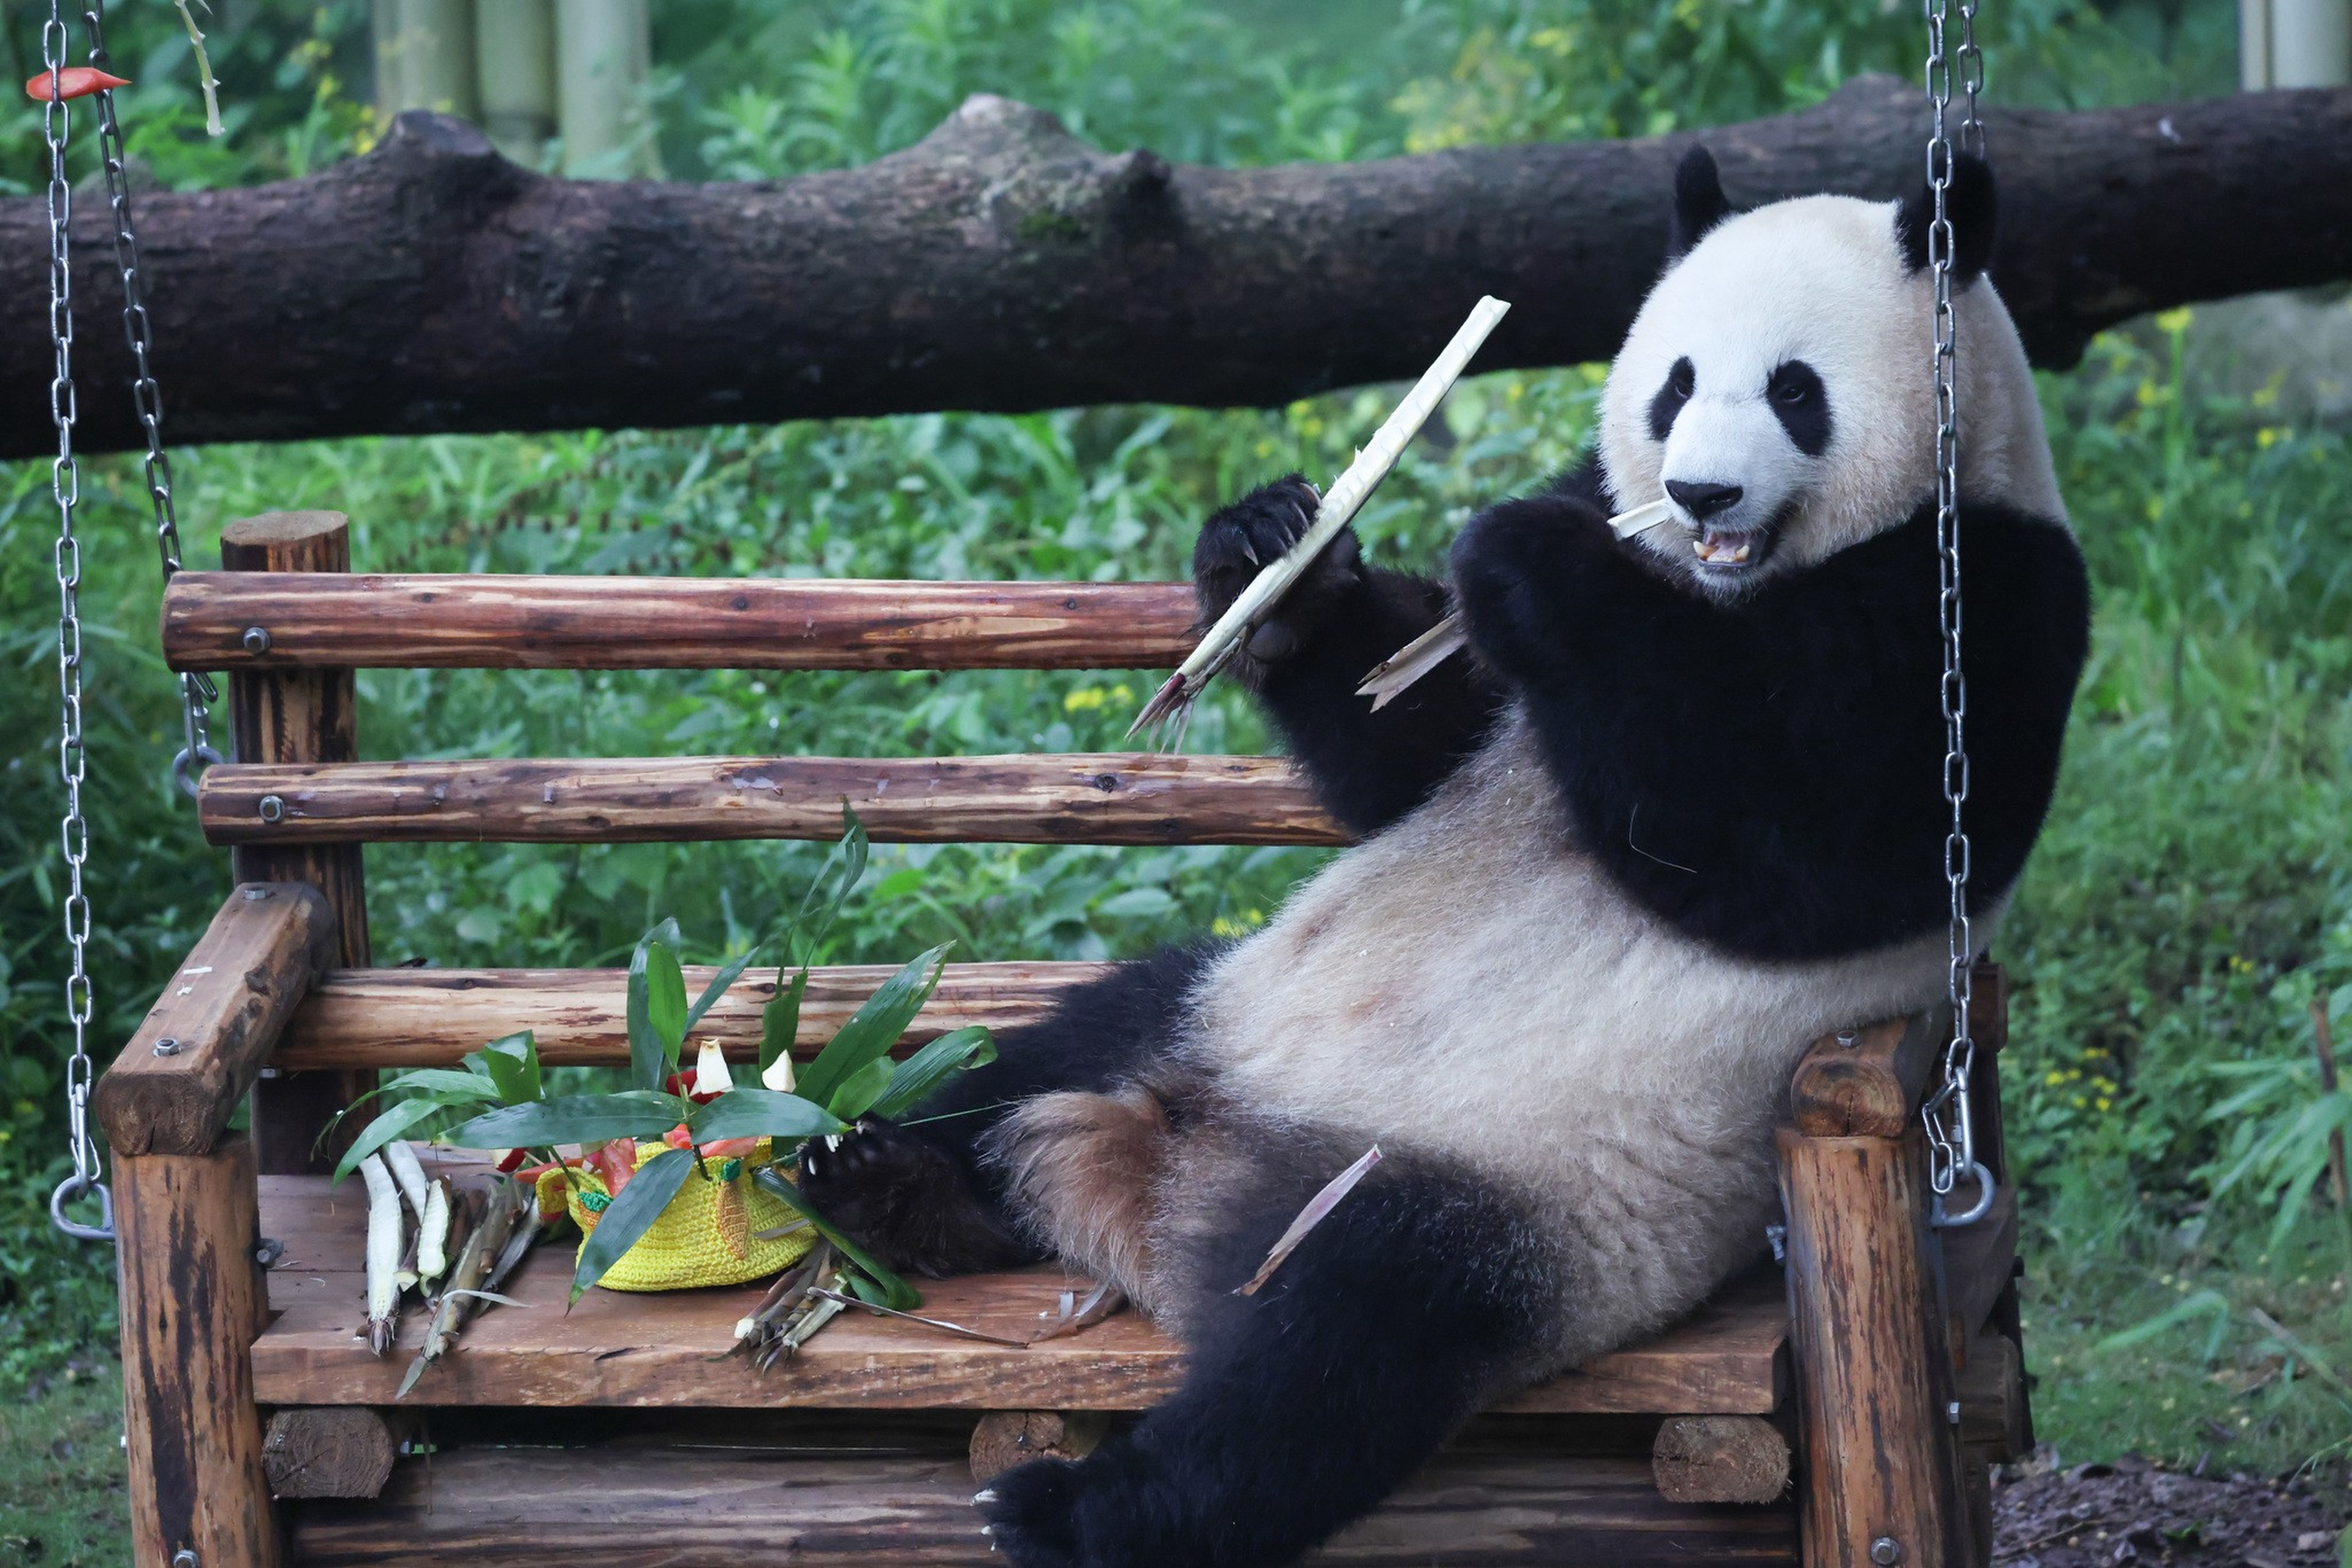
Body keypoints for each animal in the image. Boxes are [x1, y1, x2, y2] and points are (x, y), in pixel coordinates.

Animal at [800, 145, 2091, 1568]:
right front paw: (1272, 553)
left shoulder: (1979, 607)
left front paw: (1526, 563)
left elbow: (1798, 861)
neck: (1730, 585)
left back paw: (1071, 1507)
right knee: (1052, 1046)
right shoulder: (1589, 528)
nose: (1696, 493)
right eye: (1674, 382)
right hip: (1218, 1005)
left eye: (1793, 390)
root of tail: (1166, 1189)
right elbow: (1407, 752)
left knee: (1336, 1356)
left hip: (1513, 1207)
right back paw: (890, 1183)